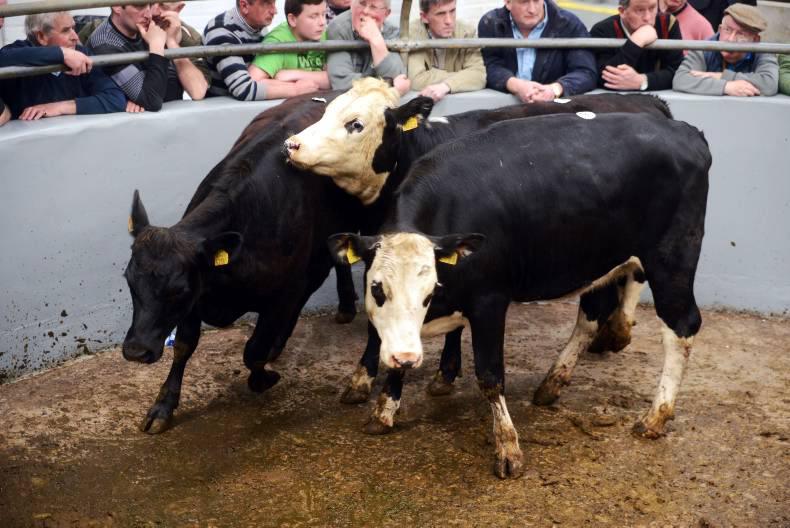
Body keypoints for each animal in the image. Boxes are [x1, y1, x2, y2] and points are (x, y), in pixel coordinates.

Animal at [122, 92, 366, 434]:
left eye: (178, 289)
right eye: (129, 280)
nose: (135, 350)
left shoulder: (283, 290)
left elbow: (253, 350)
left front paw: (264, 376)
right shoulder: (199, 294)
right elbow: (184, 346)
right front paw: (163, 406)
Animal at [285, 78, 674, 404]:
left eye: (356, 123)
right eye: (326, 112)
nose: (292, 144)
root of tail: (649, 101)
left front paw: (431, 374)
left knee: (633, 278)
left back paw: (618, 331)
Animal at [327, 112, 711, 478]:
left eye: (429, 292)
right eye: (377, 288)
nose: (407, 358)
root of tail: (684, 130)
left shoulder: (490, 301)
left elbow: (490, 376)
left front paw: (508, 448)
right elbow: (388, 343)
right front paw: (384, 410)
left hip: (671, 259)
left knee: (681, 325)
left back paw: (655, 416)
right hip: (597, 259)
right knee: (593, 314)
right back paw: (552, 383)